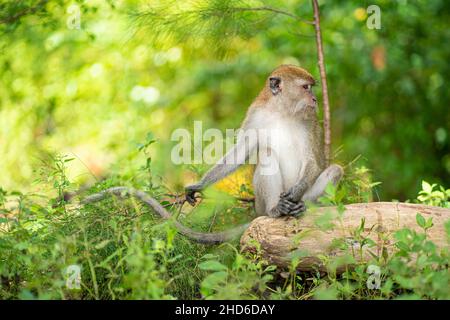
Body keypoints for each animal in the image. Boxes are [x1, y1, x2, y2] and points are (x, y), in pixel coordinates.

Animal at [80, 65, 342, 245]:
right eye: (306, 87)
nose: (314, 99)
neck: (282, 111)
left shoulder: (310, 119)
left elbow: (314, 160)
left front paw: (295, 194)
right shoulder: (256, 114)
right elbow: (240, 152)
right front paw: (198, 185)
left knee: (334, 170)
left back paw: (301, 206)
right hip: (260, 204)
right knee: (267, 157)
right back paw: (275, 210)